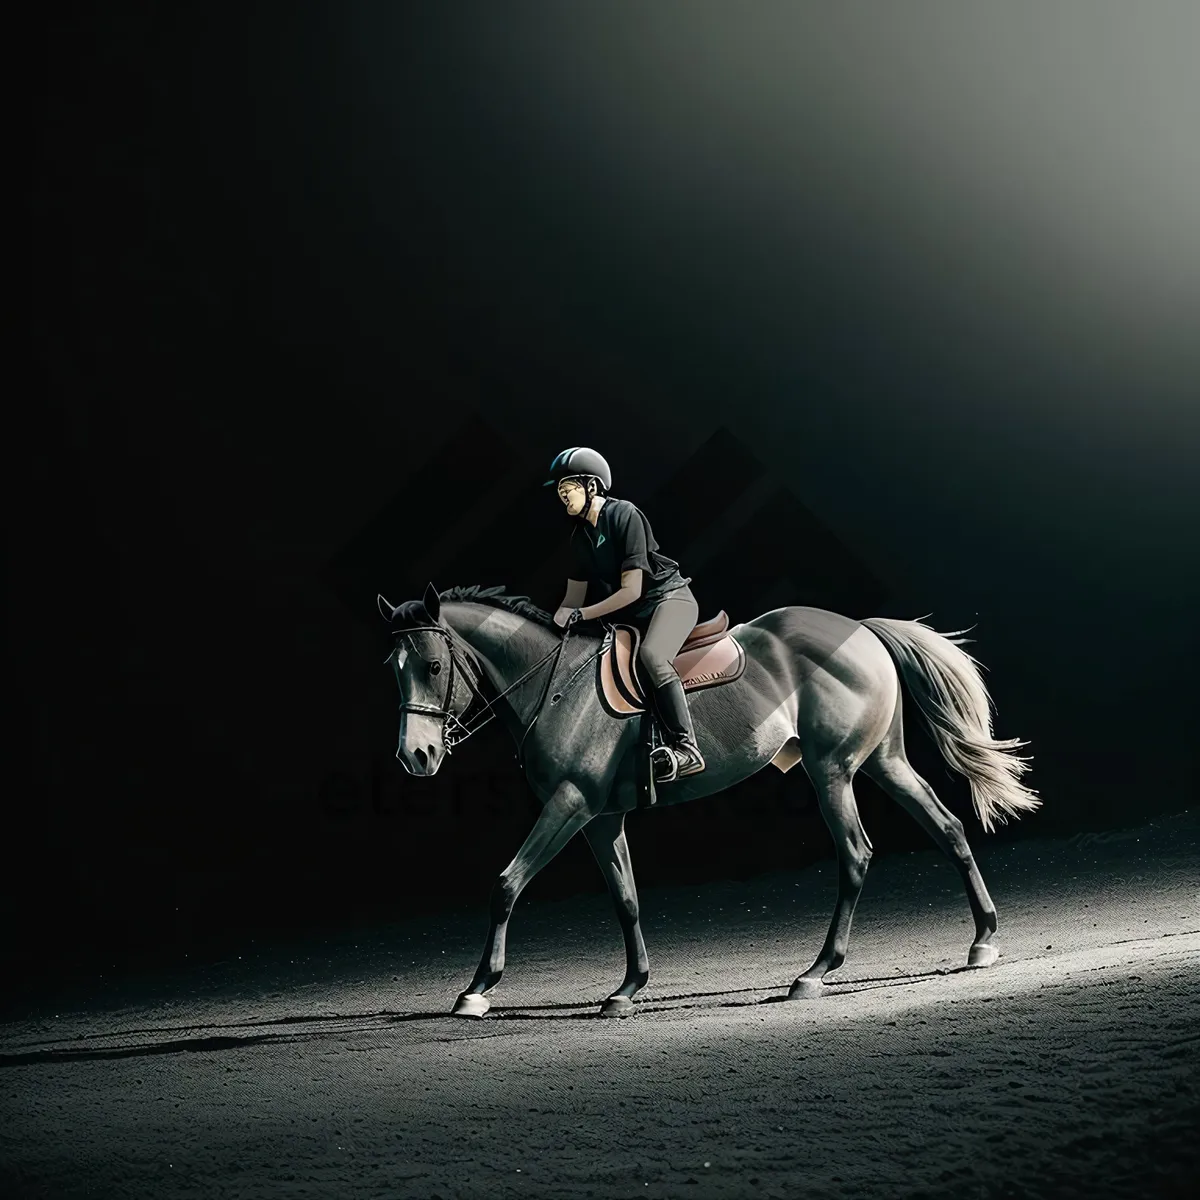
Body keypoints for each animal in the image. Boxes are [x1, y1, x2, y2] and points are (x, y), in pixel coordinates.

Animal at [379, 585, 1036, 1017]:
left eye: (433, 665)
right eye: (394, 667)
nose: (416, 756)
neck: (552, 682)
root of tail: (859, 628)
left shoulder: (569, 804)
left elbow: (507, 884)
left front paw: (477, 989)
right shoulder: (601, 818)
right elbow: (626, 899)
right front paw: (628, 989)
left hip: (833, 769)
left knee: (856, 854)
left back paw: (816, 972)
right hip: (883, 760)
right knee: (947, 828)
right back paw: (983, 940)